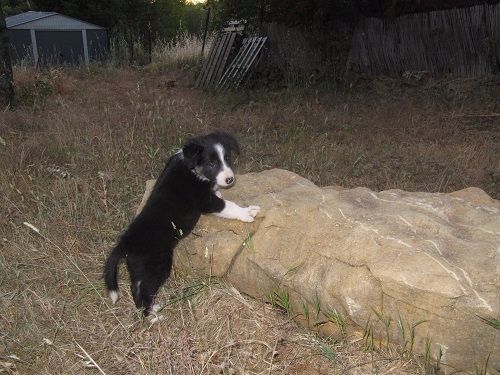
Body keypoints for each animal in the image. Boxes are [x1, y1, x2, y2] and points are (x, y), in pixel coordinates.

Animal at [105, 132, 262, 318]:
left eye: (227, 158)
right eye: (212, 163)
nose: (230, 179)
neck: (191, 166)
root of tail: (126, 242)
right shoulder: (206, 201)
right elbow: (229, 205)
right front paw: (247, 213)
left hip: (138, 268)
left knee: (135, 289)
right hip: (157, 266)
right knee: (144, 291)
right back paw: (154, 317)